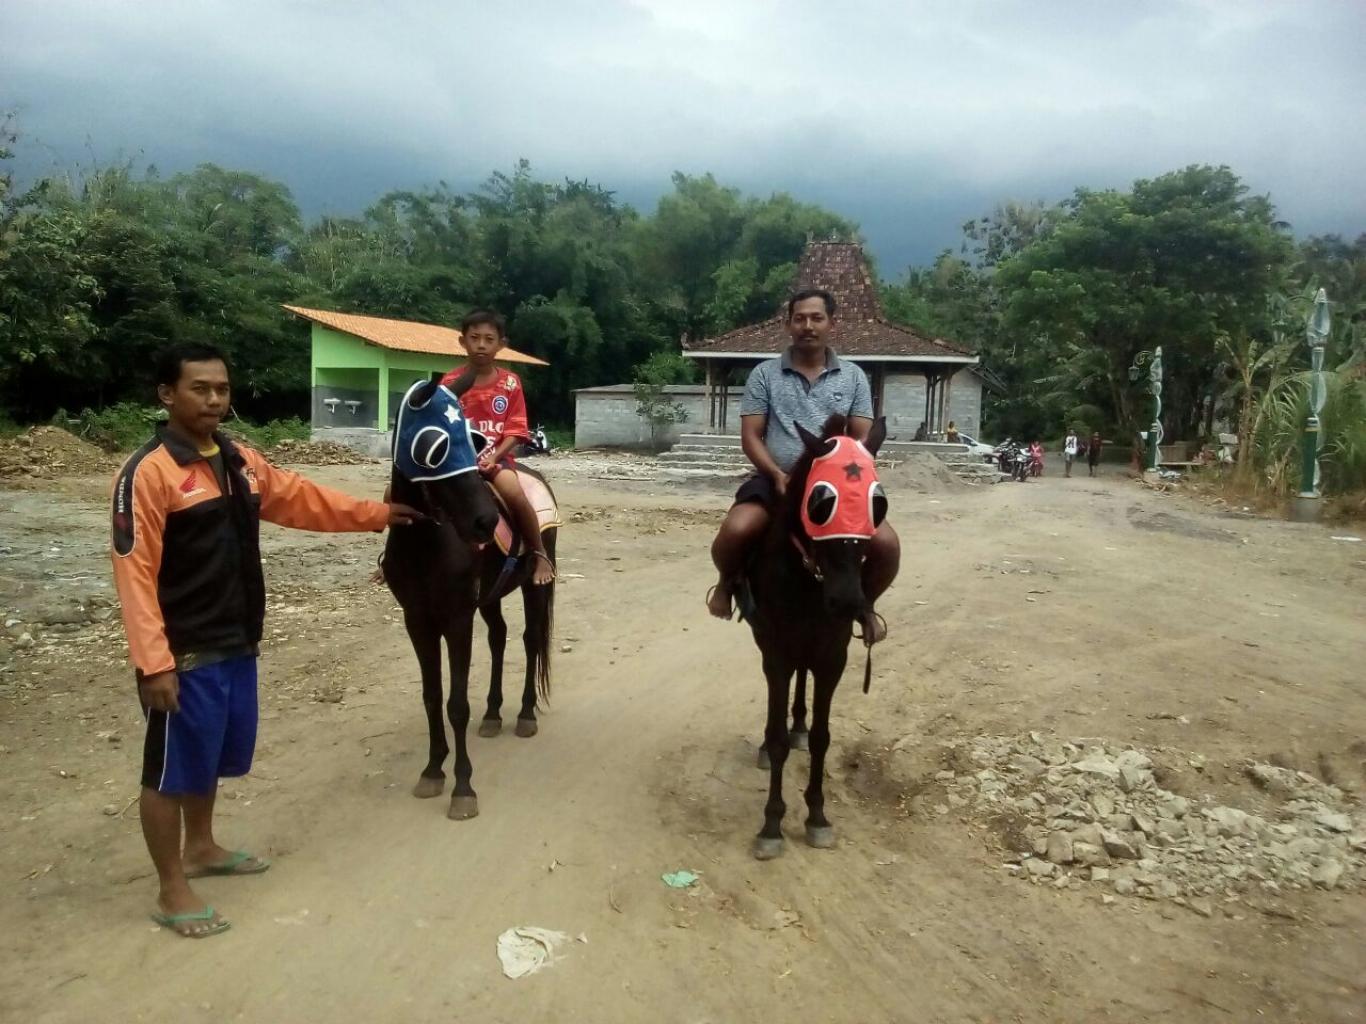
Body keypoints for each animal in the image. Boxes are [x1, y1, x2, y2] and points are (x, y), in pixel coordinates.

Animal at [382, 374, 551, 824]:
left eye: (472, 442)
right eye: (434, 448)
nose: (486, 522)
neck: (426, 544)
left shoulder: (457, 618)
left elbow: (456, 704)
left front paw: (462, 787)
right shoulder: (417, 620)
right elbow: (432, 697)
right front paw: (432, 770)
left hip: (536, 586)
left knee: (531, 639)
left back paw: (525, 714)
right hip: (489, 598)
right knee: (499, 637)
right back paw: (493, 714)